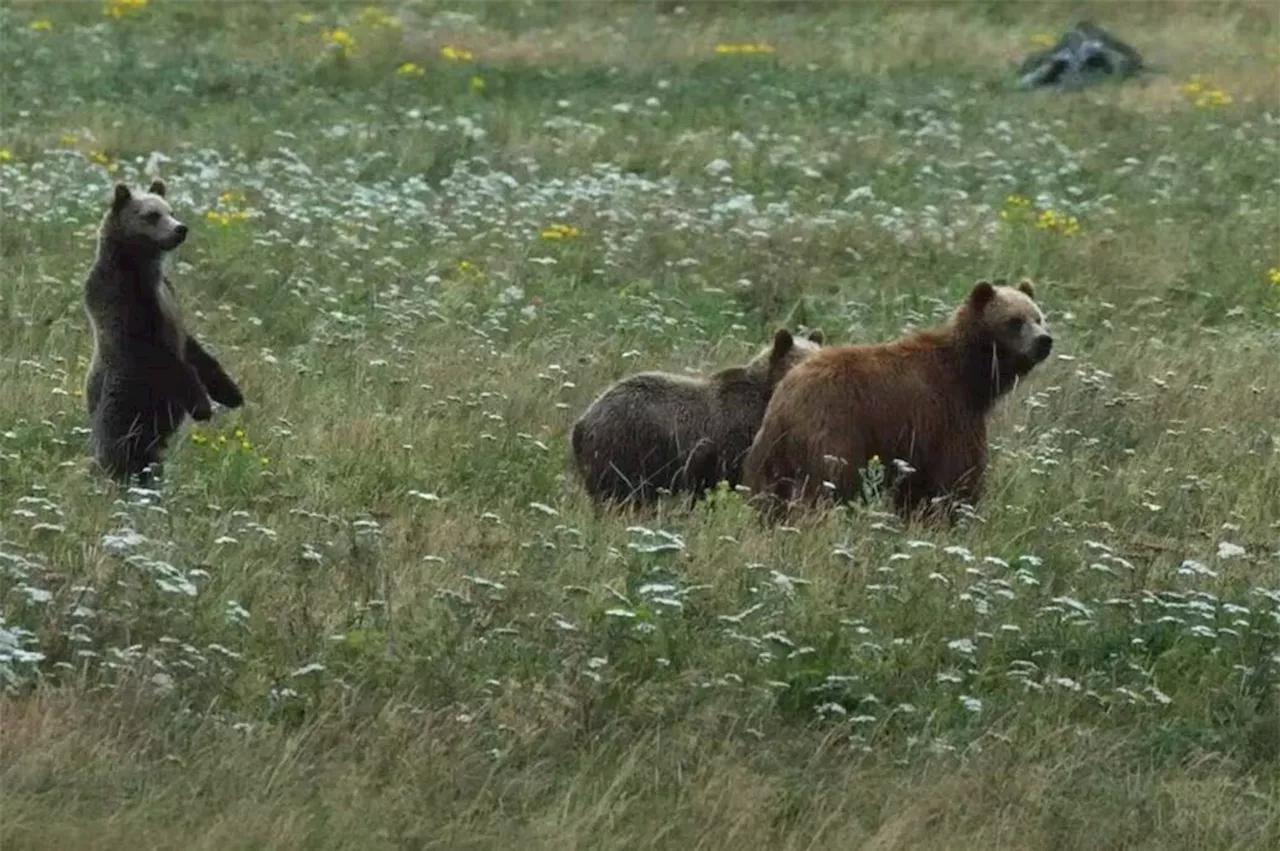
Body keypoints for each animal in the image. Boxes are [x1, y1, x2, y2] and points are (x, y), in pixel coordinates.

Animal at [87, 179, 244, 483]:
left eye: (171, 210)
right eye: (152, 215)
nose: (180, 228)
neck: (142, 268)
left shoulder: (168, 297)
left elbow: (193, 347)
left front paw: (231, 393)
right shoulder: (127, 304)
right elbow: (164, 356)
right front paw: (202, 406)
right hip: (126, 406)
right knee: (118, 451)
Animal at [742, 280, 1049, 516]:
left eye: (1038, 317)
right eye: (1015, 321)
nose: (1044, 340)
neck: (971, 376)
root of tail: (785, 401)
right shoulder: (945, 412)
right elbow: (958, 475)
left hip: (769, 452)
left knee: (765, 495)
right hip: (834, 432)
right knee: (828, 486)